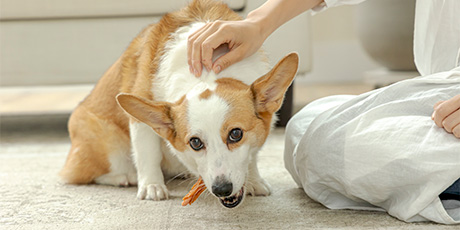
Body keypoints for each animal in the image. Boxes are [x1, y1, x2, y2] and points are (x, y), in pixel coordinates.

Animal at [60, 0, 298, 208]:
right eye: (195, 143)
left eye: (236, 134)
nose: (221, 189)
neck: (206, 73)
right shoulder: (141, 120)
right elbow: (148, 153)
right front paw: (152, 186)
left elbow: (252, 157)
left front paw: (254, 181)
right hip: (110, 147)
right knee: (75, 175)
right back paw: (124, 176)